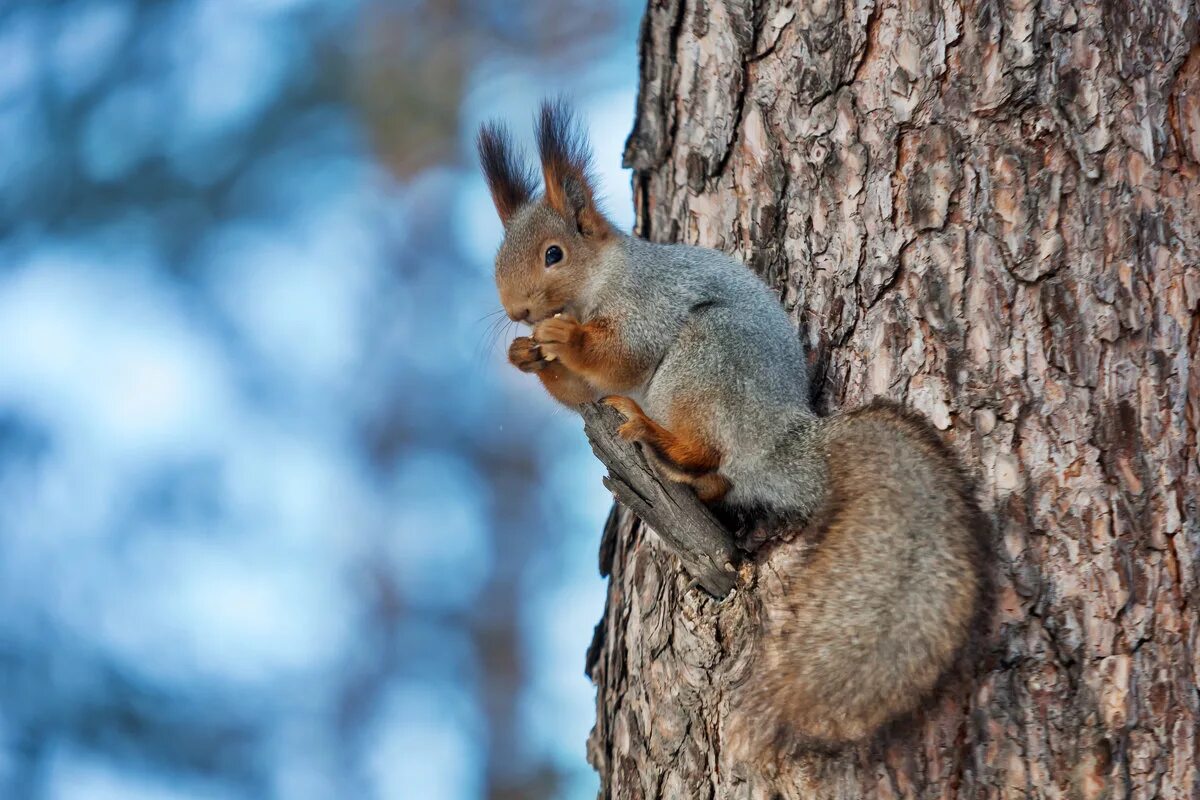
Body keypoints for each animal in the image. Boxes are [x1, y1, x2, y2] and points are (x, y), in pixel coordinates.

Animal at [472, 100, 979, 753]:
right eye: (498, 260)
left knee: (705, 448)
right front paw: (525, 354)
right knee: (718, 480)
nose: (517, 311)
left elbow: (621, 357)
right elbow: (581, 390)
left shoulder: (650, 305)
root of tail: (789, 443)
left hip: (704, 359)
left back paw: (657, 438)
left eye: (553, 254)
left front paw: (562, 339)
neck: (601, 283)